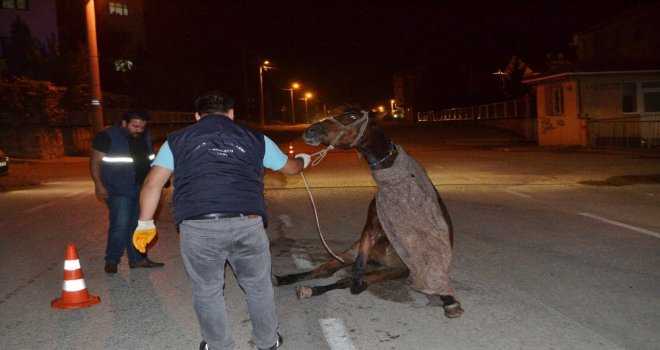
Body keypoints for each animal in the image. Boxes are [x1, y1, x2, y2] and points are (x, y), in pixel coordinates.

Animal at [274, 108, 464, 318]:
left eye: (353, 117)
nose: (311, 130)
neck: (394, 187)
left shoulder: (401, 267)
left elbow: (352, 280)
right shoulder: (369, 229)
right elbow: (355, 269)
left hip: (392, 269)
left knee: (341, 278)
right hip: (352, 252)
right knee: (325, 270)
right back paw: (285, 280)